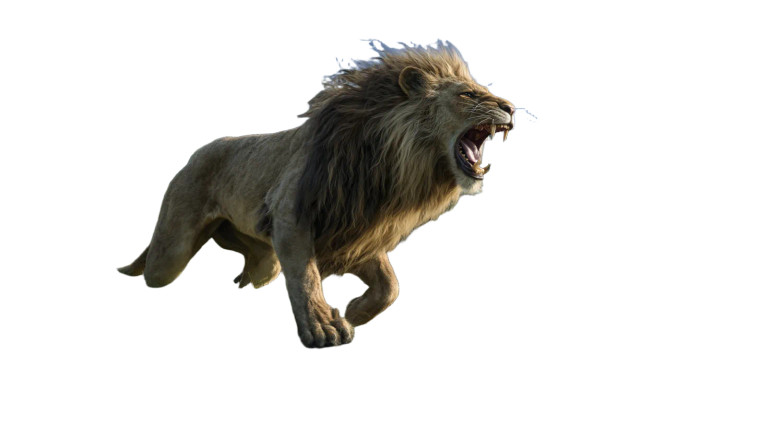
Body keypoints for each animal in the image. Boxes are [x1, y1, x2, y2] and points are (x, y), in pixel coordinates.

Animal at [118, 41, 515, 348]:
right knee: (155, 270)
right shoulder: (292, 216)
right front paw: (322, 327)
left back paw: (246, 275)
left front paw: (355, 313)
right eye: (468, 94)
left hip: (262, 258)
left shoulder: (359, 232)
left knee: (257, 261)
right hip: (170, 254)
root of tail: (196, 153)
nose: (511, 108)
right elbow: (305, 276)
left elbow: (391, 286)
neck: (391, 165)